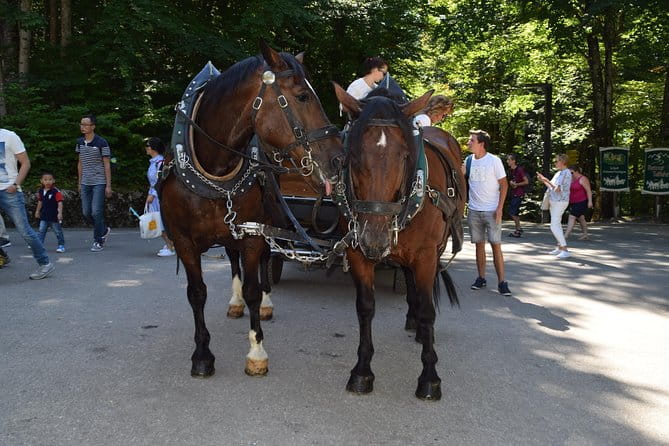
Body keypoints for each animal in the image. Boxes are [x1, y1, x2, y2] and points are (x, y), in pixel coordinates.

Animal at [160, 42, 343, 378]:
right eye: (302, 95)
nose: (338, 159)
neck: (216, 169)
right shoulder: (184, 240)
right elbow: (197, 292)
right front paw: (202, 355)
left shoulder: (253, 232)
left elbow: (254, 289)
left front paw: (257, 351)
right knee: (233, 260)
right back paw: (234, 303)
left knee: (266, 261)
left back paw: (266, 304)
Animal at [334, 84, 466, 400]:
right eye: (353, 155)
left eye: (405, 156)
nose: (375, 237)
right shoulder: (358, 252)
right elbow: (365, 307)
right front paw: (362, 371)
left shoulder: (426, 256)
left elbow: (429, 311)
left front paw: (429, 377)